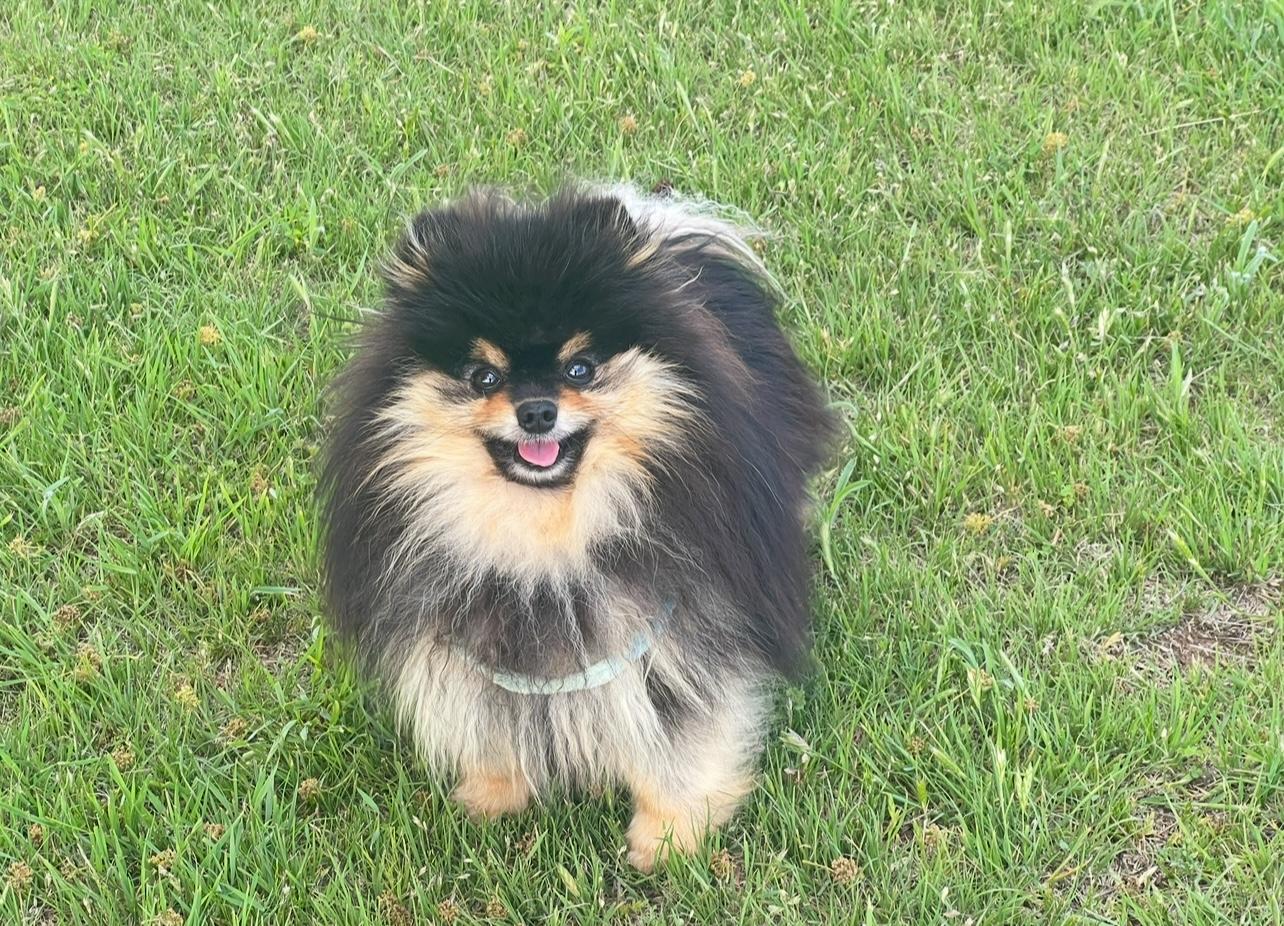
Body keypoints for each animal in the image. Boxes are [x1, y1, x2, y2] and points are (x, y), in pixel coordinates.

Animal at [319, 184, 831, 869]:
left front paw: (667, 838)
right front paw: (493, 794)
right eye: (484, 376)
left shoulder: (683, 620)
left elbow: (681, 737)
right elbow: (491, 713)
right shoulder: (468, 625)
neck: (548, 533)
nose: (537, 411)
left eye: (580, 367)